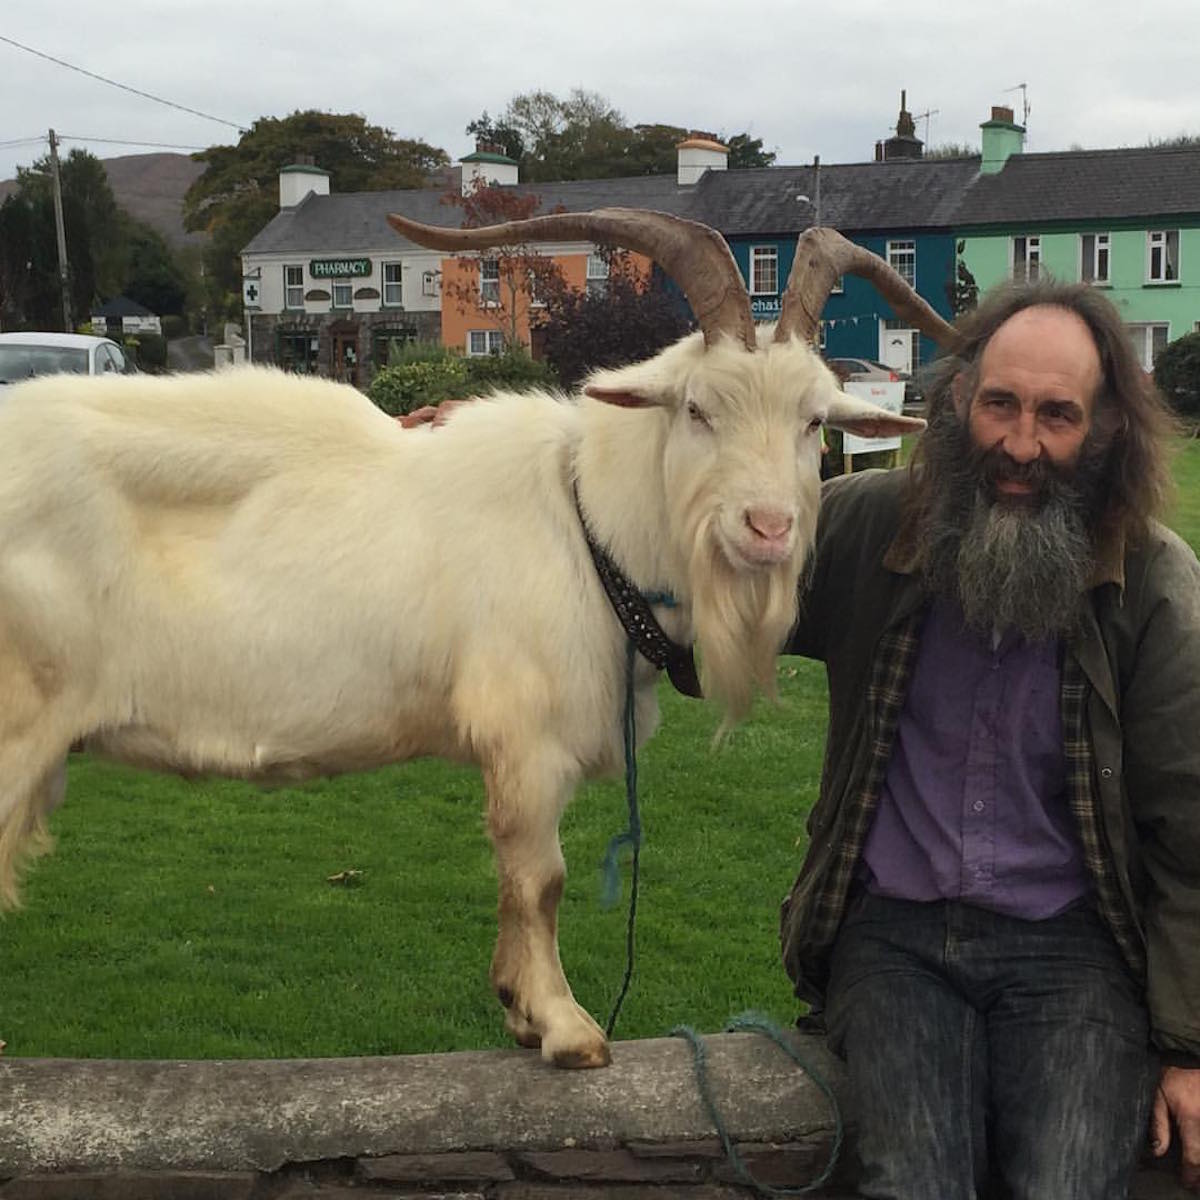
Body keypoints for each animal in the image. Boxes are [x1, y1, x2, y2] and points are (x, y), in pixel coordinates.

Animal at [2, 208, 955, 1070]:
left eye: (812, 421)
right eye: (697, 409)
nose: (768, 528)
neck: (586, 519)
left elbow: (515, 884)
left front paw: (518, 1011)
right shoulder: (526, 740)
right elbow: (541, 879)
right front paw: (565, 1027)